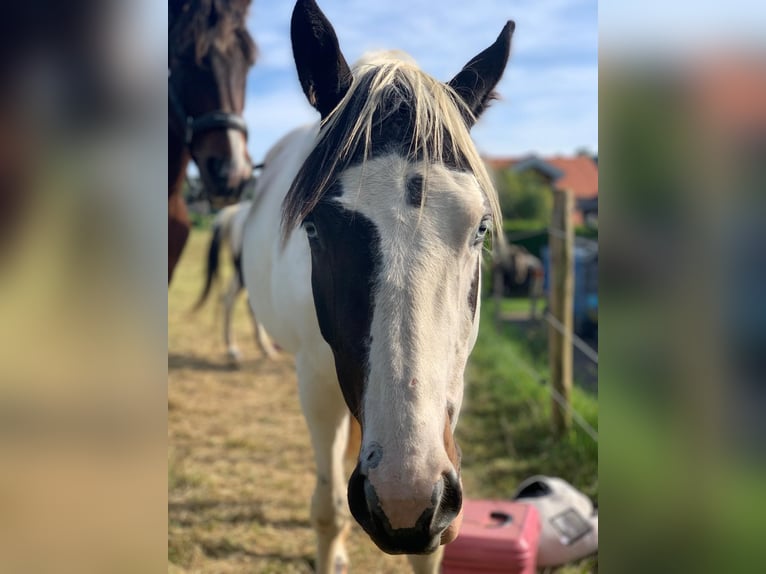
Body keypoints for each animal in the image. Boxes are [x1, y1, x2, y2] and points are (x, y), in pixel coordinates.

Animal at [243, 2, 512, 572]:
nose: (404, 496)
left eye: (480, 228)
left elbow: (430, 551)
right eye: (314, 227)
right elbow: (326, 511)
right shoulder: (316, 388)